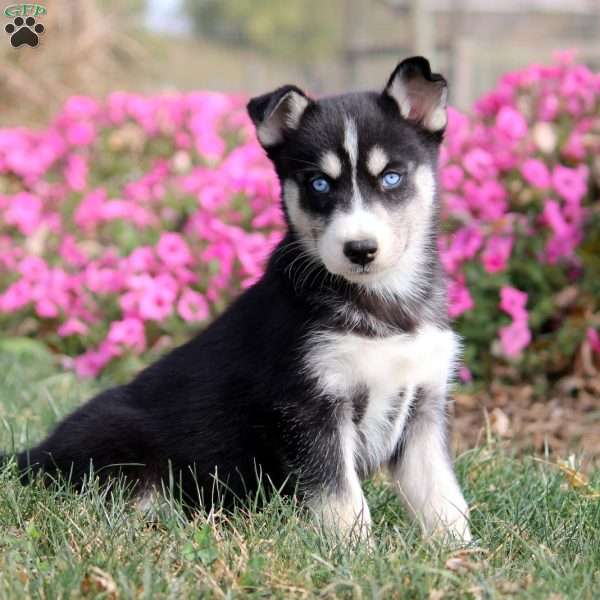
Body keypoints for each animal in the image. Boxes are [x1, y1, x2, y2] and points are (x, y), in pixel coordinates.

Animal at [7, 57, 472, 544]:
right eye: (319, 184)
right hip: (122, 449)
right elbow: (342, 498)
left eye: (392, 177)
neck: (385, 304)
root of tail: (32, 456)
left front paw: (461, 552)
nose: (359, 250)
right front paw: (355, 550)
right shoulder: (311, 407)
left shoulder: (425, 404)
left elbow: (443, 495)